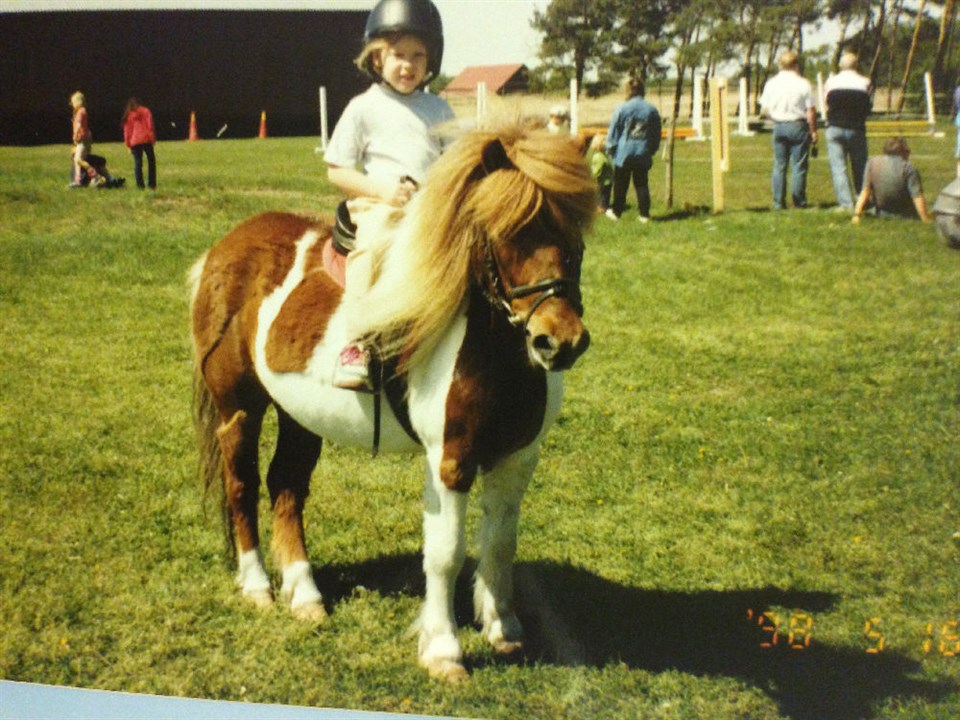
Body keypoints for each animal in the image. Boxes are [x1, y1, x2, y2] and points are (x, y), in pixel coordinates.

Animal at [189, 123, 596, 682]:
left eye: (576, 239)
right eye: (509, 234)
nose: (559, 342)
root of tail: (221, 250)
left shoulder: (516, 458)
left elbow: (499, 543)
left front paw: (503, 628)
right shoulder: (450, 461)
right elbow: (445, 553)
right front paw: (443, 650)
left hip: (299, 415)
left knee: (286, 486)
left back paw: (304, 593)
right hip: (239, 409)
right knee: (241, 486)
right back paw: (257, 586)